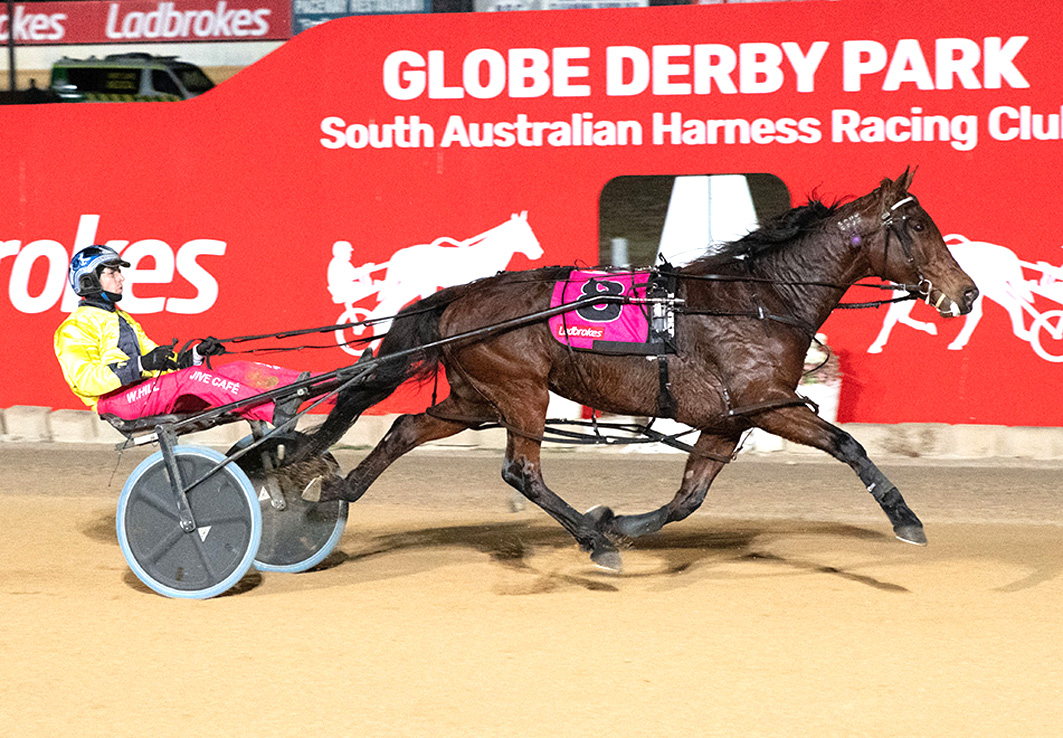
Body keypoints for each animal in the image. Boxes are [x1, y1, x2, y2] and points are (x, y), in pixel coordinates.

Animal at [302, 169, 979, 572]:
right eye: (917, 225)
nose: (968, 293)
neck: (759, 299)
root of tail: (459, 295)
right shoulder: (770, 401)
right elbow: (848, 444)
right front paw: (906, 519)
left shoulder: (729, 419)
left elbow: (688, 498)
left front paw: (620, 520)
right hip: (521, 394)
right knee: (521, 471)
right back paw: (592, 542)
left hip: (473, 398)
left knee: (404, 430)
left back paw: (335, 493)